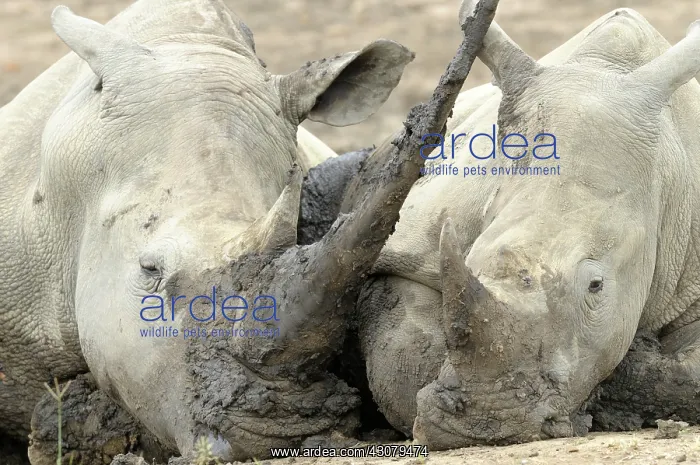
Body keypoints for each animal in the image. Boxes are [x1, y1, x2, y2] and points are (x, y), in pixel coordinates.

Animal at [348, 1, 700, 449]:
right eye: (465, 260)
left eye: (596, 286)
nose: (489, 423)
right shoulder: (403, 251)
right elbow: (402, 358)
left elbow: (689, 374)